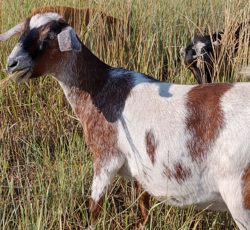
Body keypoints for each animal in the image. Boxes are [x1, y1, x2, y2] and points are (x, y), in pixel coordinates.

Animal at [2, 13, 250, 230]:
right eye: (23, 32)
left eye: (49, 36)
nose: (12, 63)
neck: (102, 86)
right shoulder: (141, 173)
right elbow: (142, 210)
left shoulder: (106, 158)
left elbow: (94, 209)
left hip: (239, 198)